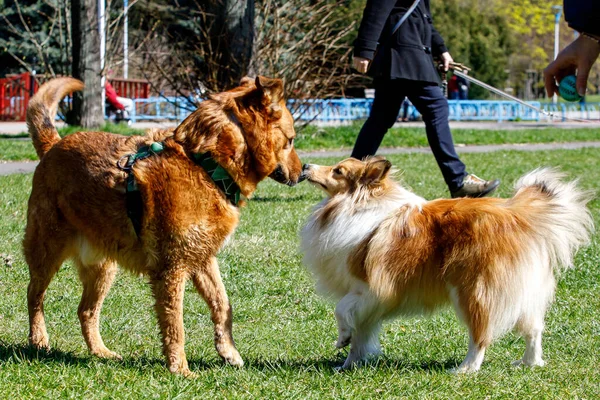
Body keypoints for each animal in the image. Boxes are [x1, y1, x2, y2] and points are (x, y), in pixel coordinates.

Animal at [23, 76, 304, 376]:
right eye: (290, 140)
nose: (302, 173)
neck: (206, 165)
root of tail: (53, 145)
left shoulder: (203, 259)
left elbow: (222, 304)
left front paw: (228, 351)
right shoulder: (172, 268)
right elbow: (175, 325)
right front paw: (180, 369)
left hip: (103, 268)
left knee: (86, 311)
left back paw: (100, 352)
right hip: (46, 252)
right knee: (34, 296)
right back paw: (39, 341)